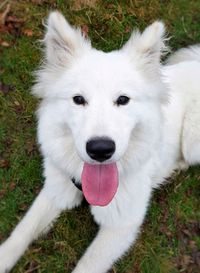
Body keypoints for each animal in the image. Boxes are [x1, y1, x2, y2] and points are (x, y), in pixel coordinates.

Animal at [0, 11, 200, 272]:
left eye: (123, 99)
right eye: (78, 99)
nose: (100, 149)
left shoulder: (120, 226)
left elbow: (87, 265)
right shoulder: (57, 189)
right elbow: (23, 229)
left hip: (192, 143)